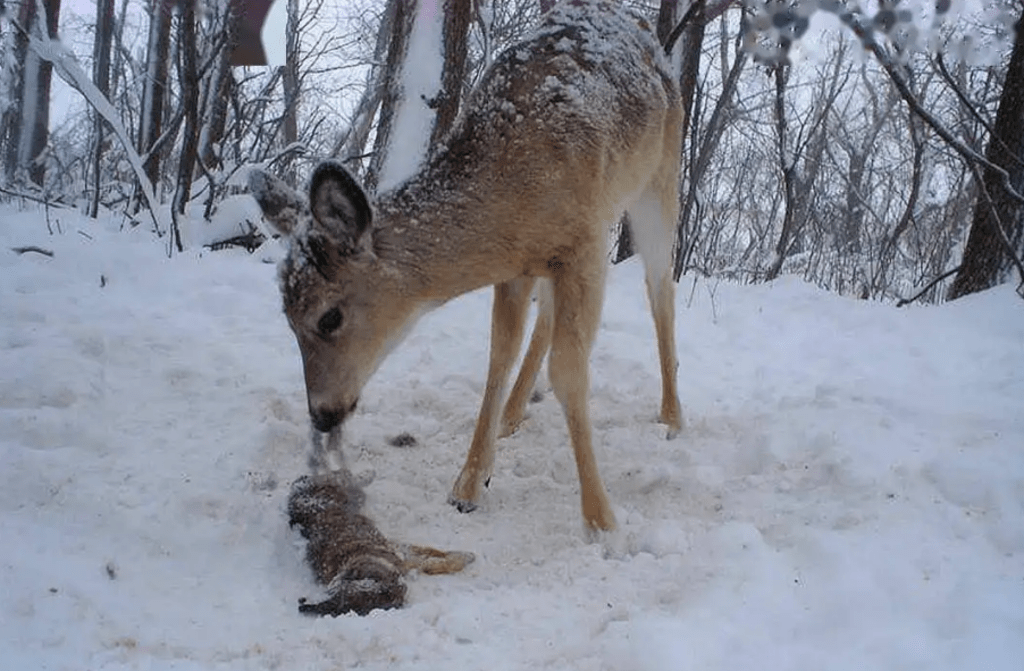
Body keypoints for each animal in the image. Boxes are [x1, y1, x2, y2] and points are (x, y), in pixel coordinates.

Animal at [246, 0, 679, 536]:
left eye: (329, 317)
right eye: (286, 319)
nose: (323, 414)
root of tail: (640, 26)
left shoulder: (587, 243)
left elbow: (568, 372)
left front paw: (602, 521)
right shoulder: (520, 266)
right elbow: (499, 355)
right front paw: (470, 483)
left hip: (659, 178)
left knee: (660, 288)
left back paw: (672, 417)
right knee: (549, 318)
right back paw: (514, 413)